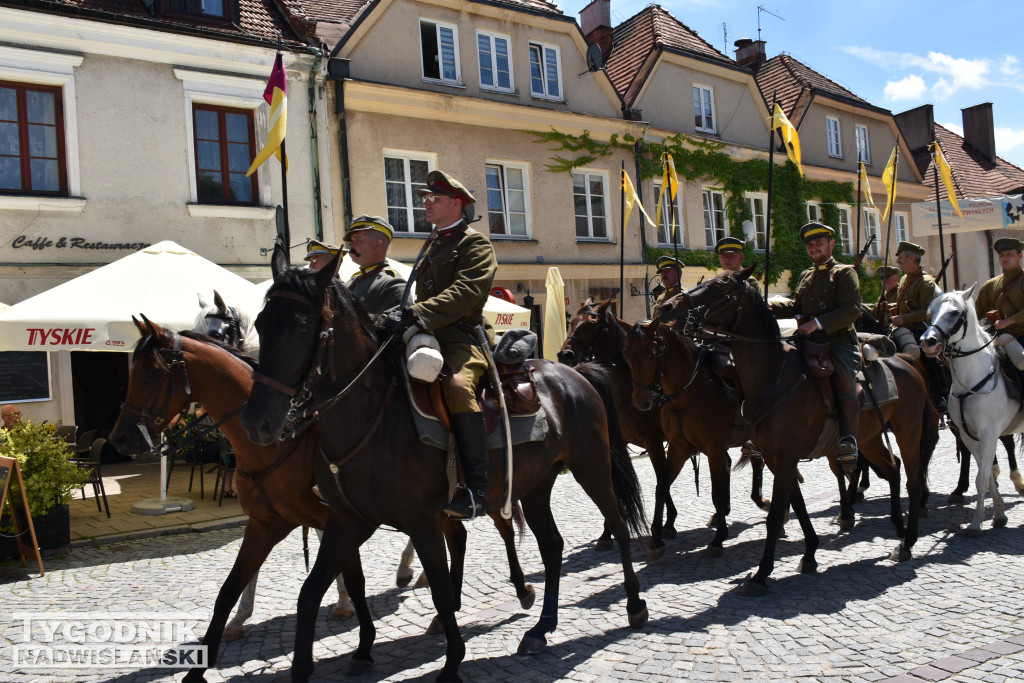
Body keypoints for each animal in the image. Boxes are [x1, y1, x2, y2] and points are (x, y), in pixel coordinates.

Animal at [107, 321, 536, 683]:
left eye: (149, 373)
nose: (120, 439)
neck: (280, 443)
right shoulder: (269, 524)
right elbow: (231, 588)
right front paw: (206, 659)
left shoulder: (338, 521)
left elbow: (352, 581)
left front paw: (356, 632)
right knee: (458, 538)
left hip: (487, 492)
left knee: (501, 527)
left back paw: (519, 589)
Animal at [237, 245, 647, 683]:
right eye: (261, 323)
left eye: (302, 326)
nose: (257, 422)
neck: (371, 416)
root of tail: (572, 370)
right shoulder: (348, 522)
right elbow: (310, 592)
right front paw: (313, 663)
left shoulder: (423, 522)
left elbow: (439, 586)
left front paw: (452, 662)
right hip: (536, 486)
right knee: (552, 546)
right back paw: (541, 628)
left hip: (591, 468)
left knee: (619, 525)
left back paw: (634, 605)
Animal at [659, 264, 937, 593]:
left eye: (721, 286)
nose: (667, 307)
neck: (774, 375)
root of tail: (906, 361)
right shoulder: (774, 456)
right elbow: (798, 504)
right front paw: (810, 553)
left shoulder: (783, 454)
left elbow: (776, 513)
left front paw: (761, 573)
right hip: (868, 439)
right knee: (892, 469)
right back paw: (898, 526)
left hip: (908, 432)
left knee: (912, 479)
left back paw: (907, 541)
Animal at [921, 286, 1024, 536]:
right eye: (932, 311)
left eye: (955, 312)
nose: (928, 341)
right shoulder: (970, 436)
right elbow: (986, 476)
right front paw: (998, 514)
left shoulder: (989, 434)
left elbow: (981, 479)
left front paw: (976, 523)